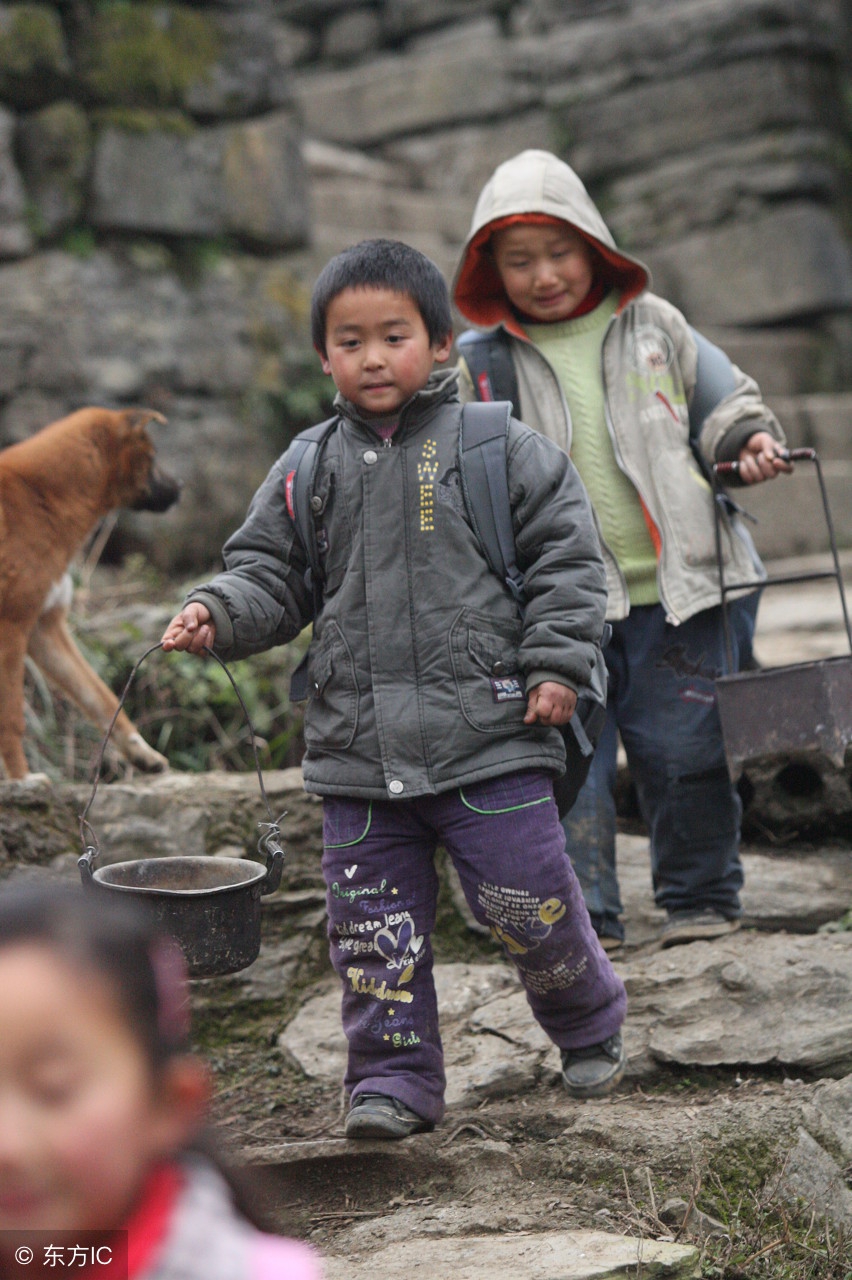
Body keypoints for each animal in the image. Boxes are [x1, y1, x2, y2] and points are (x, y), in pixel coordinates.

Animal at [0, 407, 179, 778]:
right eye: (152, 457)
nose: (180, 488)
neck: (39, 496)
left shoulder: (43, 629)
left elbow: (101, 698)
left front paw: (143, 753)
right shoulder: (12, 626)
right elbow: (11, 719)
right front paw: (21, 779)